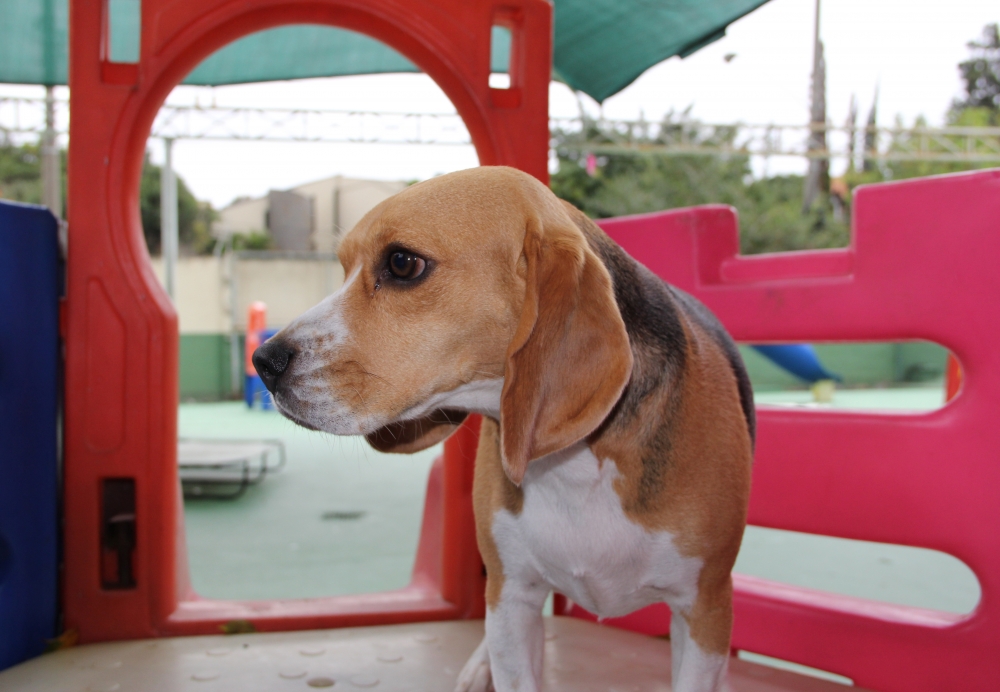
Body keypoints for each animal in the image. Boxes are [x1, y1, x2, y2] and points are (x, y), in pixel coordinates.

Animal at [254, 166, 752, 692]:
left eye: (402, 264)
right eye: (345, 265)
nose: (264, 362)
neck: (575, 467)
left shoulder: (705, 611)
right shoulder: (512, 596)